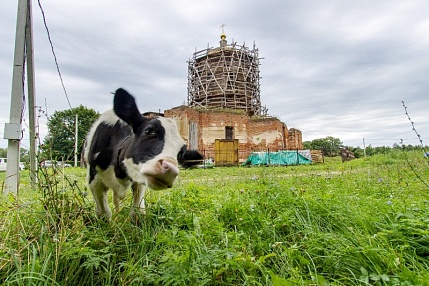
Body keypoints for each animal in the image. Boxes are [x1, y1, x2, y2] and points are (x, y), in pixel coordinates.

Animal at [85, 88, 204, 220]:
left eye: (180, 153)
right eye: (149, 131)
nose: (170, 170)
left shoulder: (139, 182)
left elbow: (137, 212)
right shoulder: (94, 180)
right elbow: (104, 213)